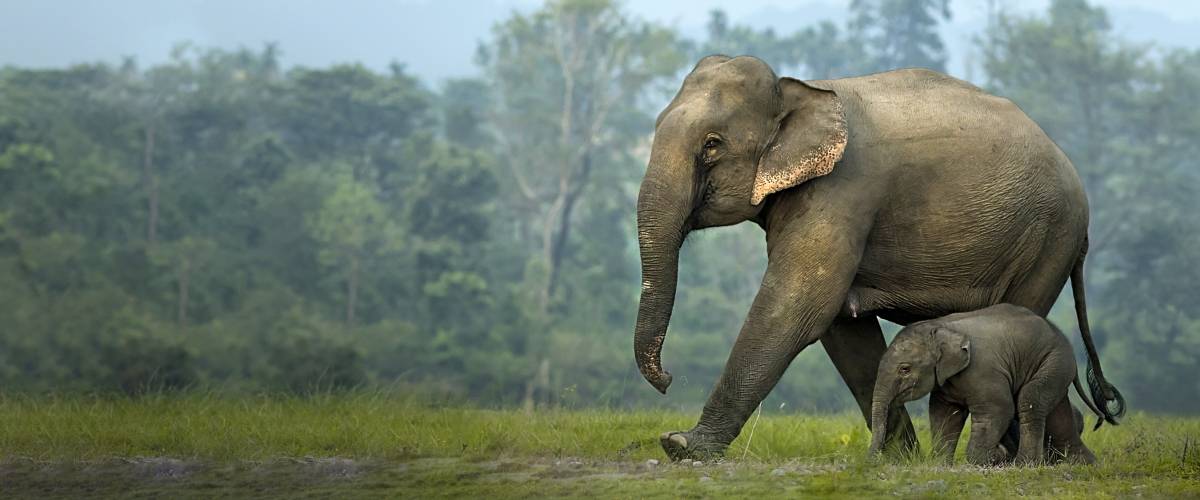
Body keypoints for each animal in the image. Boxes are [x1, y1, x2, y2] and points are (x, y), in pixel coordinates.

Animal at [866, 304, 1099, 465]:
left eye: (904, 369)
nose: (870, 462)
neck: (939, 326)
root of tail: (1061, 336)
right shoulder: (945, 382)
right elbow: (944, 415)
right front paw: (941, 463)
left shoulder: (982, 370)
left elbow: (999, 408)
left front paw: (995, 457)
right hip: (1054, 364)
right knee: (1057, 412)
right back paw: (1085, 464)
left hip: (1054, 359)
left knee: (1029, 399)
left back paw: (1024, 464)